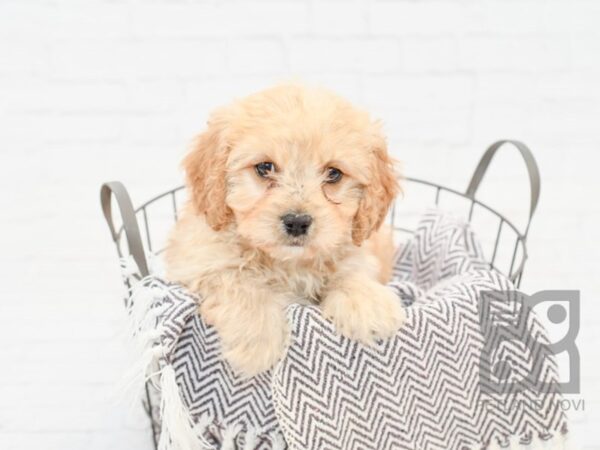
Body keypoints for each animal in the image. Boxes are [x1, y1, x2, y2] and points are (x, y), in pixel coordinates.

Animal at [166, 84, 406, 376]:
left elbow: (351, 270)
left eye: (334, 174)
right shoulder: (197, 263)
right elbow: (237, 280)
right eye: (264, 167)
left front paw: (366, 303)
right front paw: (257, 340)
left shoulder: (360, 250)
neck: (287, 263)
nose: (297, 222)